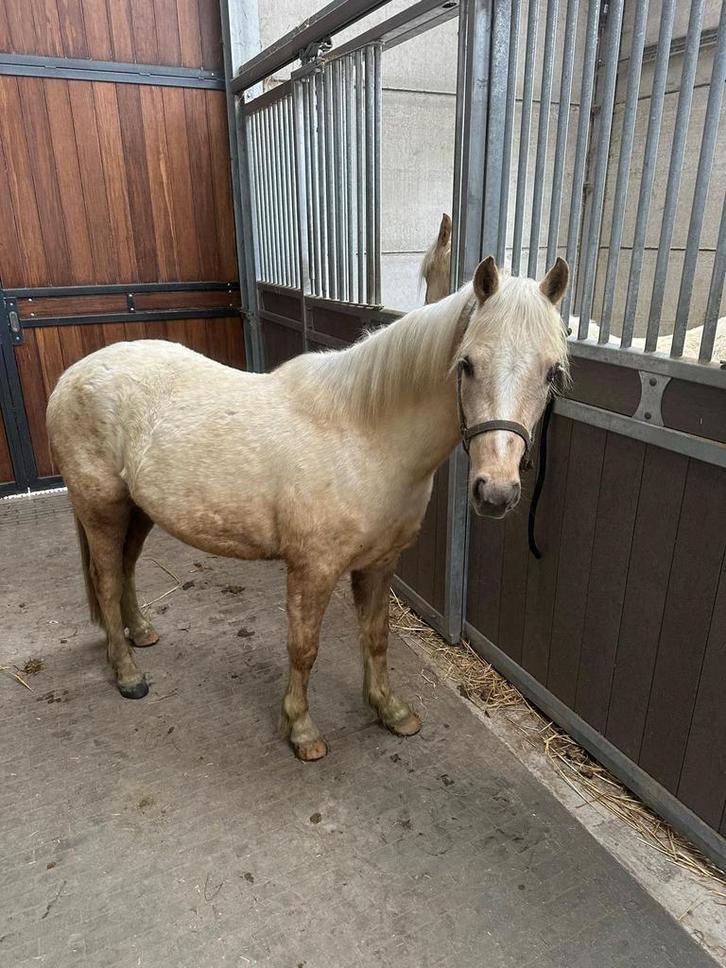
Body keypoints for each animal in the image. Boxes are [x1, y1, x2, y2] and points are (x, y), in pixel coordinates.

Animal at [46, 256, 569, 761]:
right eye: (467, 364)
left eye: (550, 373)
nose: (495, 492)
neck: (364, 435)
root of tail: (71, 376)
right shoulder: (312, 570)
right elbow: (303, 649)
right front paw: (301, 731)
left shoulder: (380, 563)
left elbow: (376, 636)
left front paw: (391, 710)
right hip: (103, 510)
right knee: (107, 581)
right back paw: (128, 674)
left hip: (138, 512)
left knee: (127, 571)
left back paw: (141, 633)